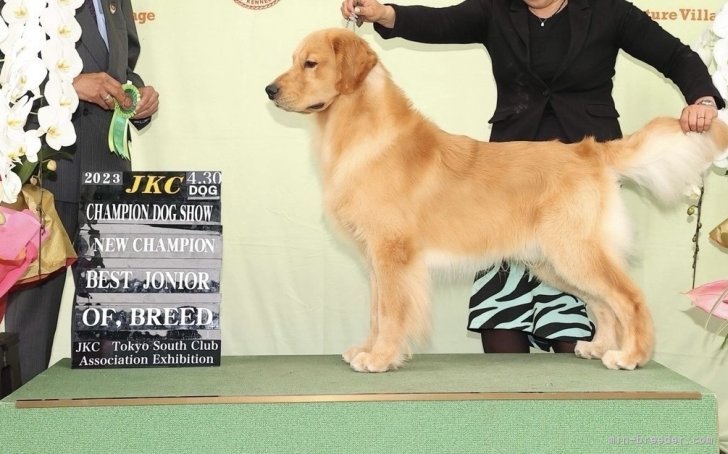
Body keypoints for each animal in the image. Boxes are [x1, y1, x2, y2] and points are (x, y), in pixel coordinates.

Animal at [264, 27, 728, 372]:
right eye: (293, 59)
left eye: (310, 63)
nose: (269, 89)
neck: (360, 131)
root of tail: (590, 151)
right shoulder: (377, 259)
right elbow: (377, 311)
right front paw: (367, 349)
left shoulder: (392, 252)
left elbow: (392, 312)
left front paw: (381, 358)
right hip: (553, 260)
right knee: (603, 303)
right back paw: (600, 348)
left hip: (573, 250)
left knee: (628, 298)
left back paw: (632, 355)